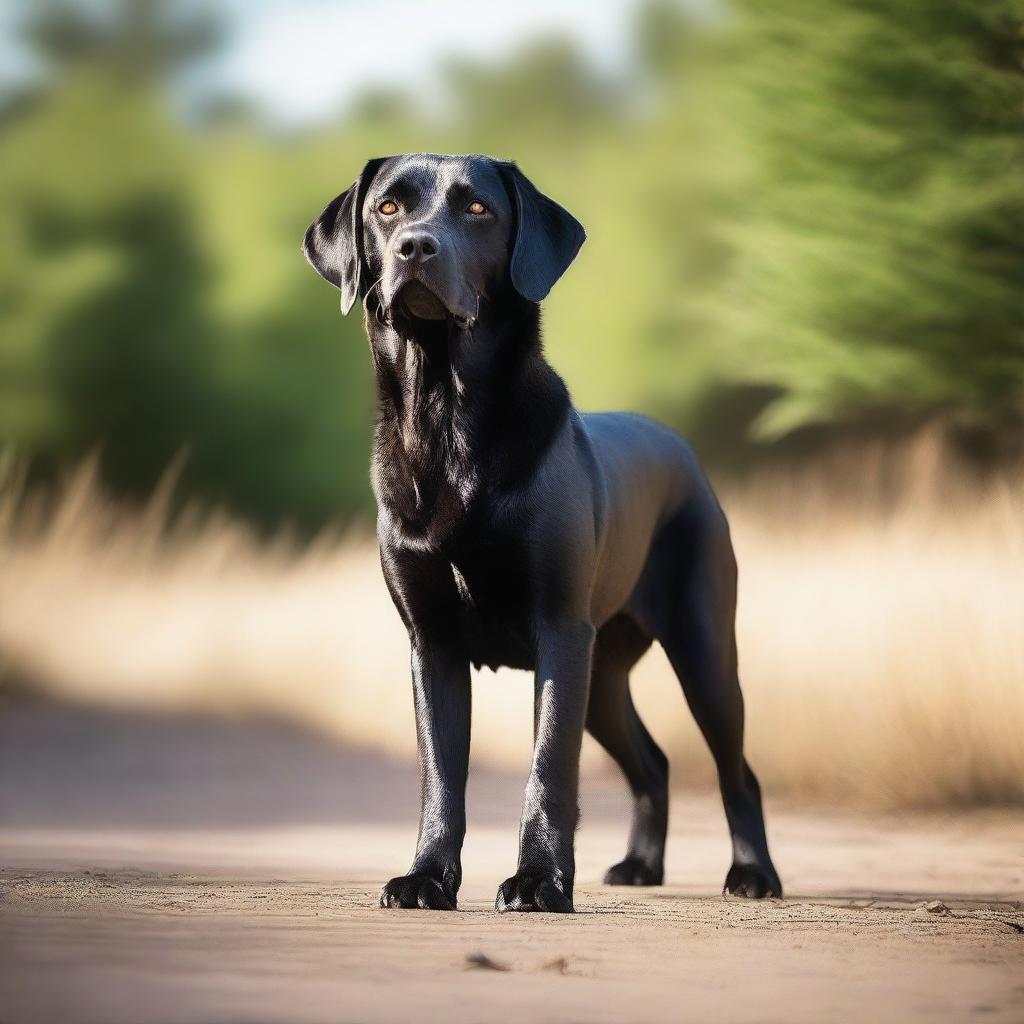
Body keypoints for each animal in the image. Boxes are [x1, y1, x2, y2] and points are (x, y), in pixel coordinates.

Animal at [303, 153, 782, 913]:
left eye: (478, 209)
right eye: (386, 208)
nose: (415, 247)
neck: (447, 416)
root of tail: (685, 453)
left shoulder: (559, 629)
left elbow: (549, 767)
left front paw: (539, 882)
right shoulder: (432, 640)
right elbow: (442, 775)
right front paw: (426, 878)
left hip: (702, 649)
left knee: (737, 768)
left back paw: (754, 874)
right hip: (605, 672)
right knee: (653, 761)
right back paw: (639, 865)